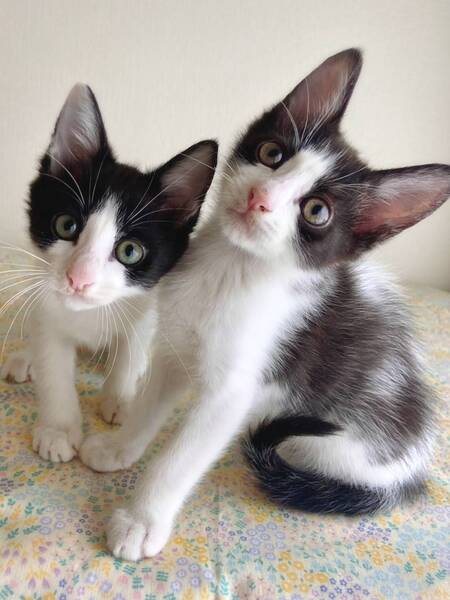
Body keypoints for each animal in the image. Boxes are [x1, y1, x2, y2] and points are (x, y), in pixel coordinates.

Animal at [1, 83, 217, 462]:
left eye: (130, 251)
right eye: (66, 225)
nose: (78, 279)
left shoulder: (150, 303)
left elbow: (132, 346)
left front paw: (121, 399)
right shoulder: (47, 310)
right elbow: (53, 364)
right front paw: (58, 429)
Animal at [79, 48, 450, 561]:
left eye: (317, 211)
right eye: (272, 154)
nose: (261, 198)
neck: (229, 269)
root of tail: (412, 472)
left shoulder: (231, 394)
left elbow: (179, 458)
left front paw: (141, 520)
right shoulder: (174, 351)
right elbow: (149, 406)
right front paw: (120, 448)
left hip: (328, 444)